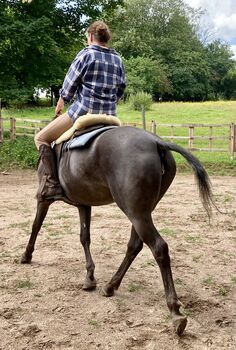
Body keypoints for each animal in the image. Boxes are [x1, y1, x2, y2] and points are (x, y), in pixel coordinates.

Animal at [21, 126, 215, 336]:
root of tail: (156, 142)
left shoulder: (43, 199)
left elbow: (36, 226)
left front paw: (26, 255)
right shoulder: (83, 203)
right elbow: (84, 237)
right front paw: (90, 278)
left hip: (136, 213)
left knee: (159, 248)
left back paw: (175, 312)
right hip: (141, 212)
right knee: (134, 246)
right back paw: (110, 286)